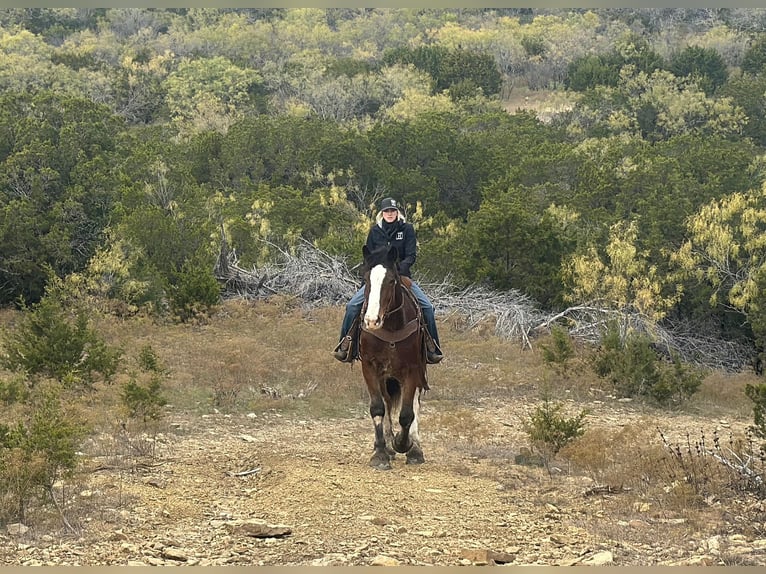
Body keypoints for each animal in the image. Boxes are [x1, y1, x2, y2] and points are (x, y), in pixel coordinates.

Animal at [358, 243, 429, 470]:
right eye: (366, 279)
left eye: (391, 280)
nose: (372, 320)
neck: (390, 327)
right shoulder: (369, 367)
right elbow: (378, 408)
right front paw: (381, 453)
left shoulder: (412, 369)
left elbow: (407, 414)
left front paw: (404, 444)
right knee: (388, 403)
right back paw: (387, 446)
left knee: (414, 405)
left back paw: (414, 448)